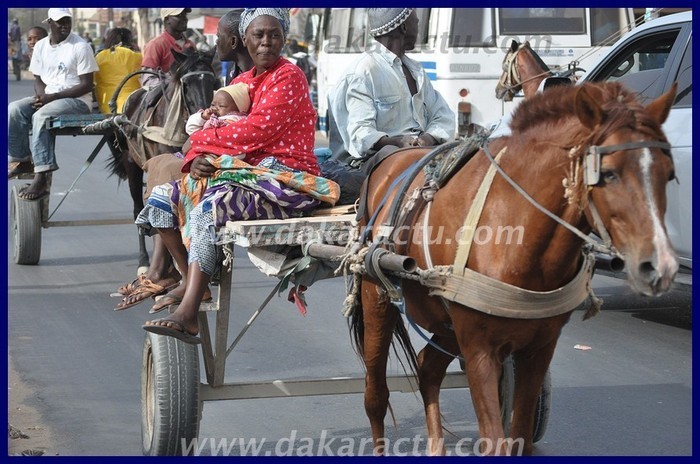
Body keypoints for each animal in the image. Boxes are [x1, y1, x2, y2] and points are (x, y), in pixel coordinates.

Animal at [105, 48, 216, 268]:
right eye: (186, 85)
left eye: (213, 82)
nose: (204, 113)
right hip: (131, 164)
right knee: (138, 208)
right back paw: (144, 260)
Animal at [350, 81, 680, 454]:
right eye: (608, 173)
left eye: (669, 174)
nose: (661, 266)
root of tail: (388, 162)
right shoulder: (479, 348)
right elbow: (494, 441)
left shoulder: (539, 347)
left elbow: (519, 434)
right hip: (376, 295)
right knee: (375, 395)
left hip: (447, 325)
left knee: (428, 369)